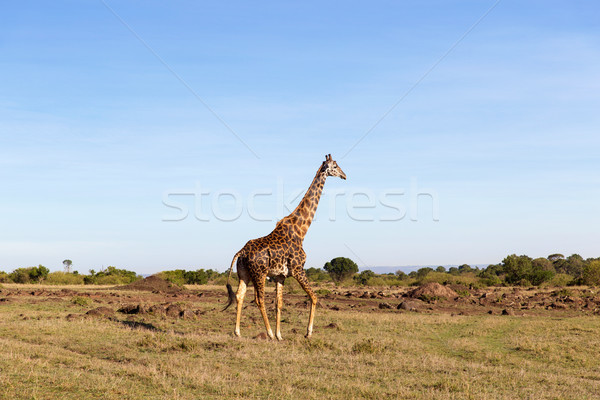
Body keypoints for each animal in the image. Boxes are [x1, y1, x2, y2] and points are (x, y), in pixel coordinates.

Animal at [223, 155, 346, 340]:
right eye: (335, 166)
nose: (344, 175)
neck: (301, 231)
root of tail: (241, 252)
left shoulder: (280, 276)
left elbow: (279, 304)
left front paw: (280, 335)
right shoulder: (297, 269)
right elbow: (314, 297)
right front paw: (308, 333)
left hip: (244, 273)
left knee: (239, 295)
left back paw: (238, 332)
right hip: (259, 273)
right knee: (259, 300)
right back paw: (268, 333)